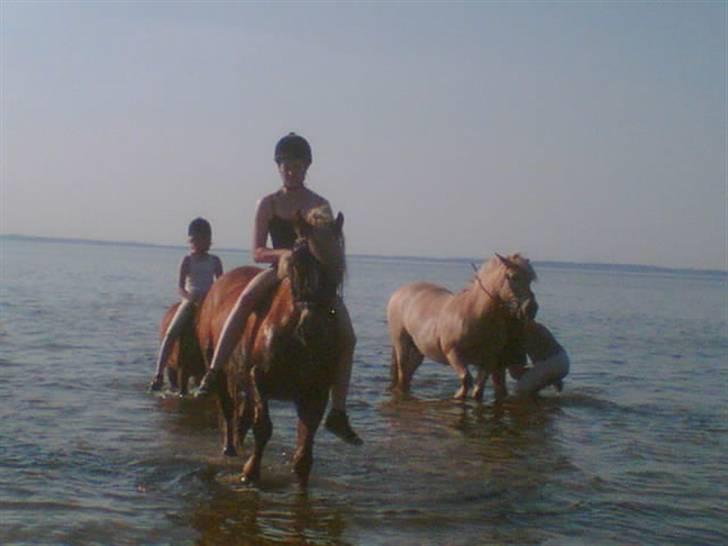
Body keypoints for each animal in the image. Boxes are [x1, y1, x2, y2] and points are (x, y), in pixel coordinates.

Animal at [195, 207, 346, 484]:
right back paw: (229, 449)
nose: (314, 328)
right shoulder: (258, 379)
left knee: (241, 415)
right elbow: (263, 428)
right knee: (227, 409)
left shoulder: (315, 393)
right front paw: (250, 472)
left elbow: (303, 456)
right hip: (218, 366)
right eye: (298, 261)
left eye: (338, 266)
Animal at [386, 254, 536, 400]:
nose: (531, 308)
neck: (474, 315)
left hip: (419, 349)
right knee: (403, 371)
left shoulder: (488, 361)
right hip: (401, 342)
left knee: (409, 372)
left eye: (530, 279)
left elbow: (478, 390)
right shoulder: (453, 354)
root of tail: (399, 292)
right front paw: (457, 396)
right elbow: (465, 380)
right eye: (513, 277)